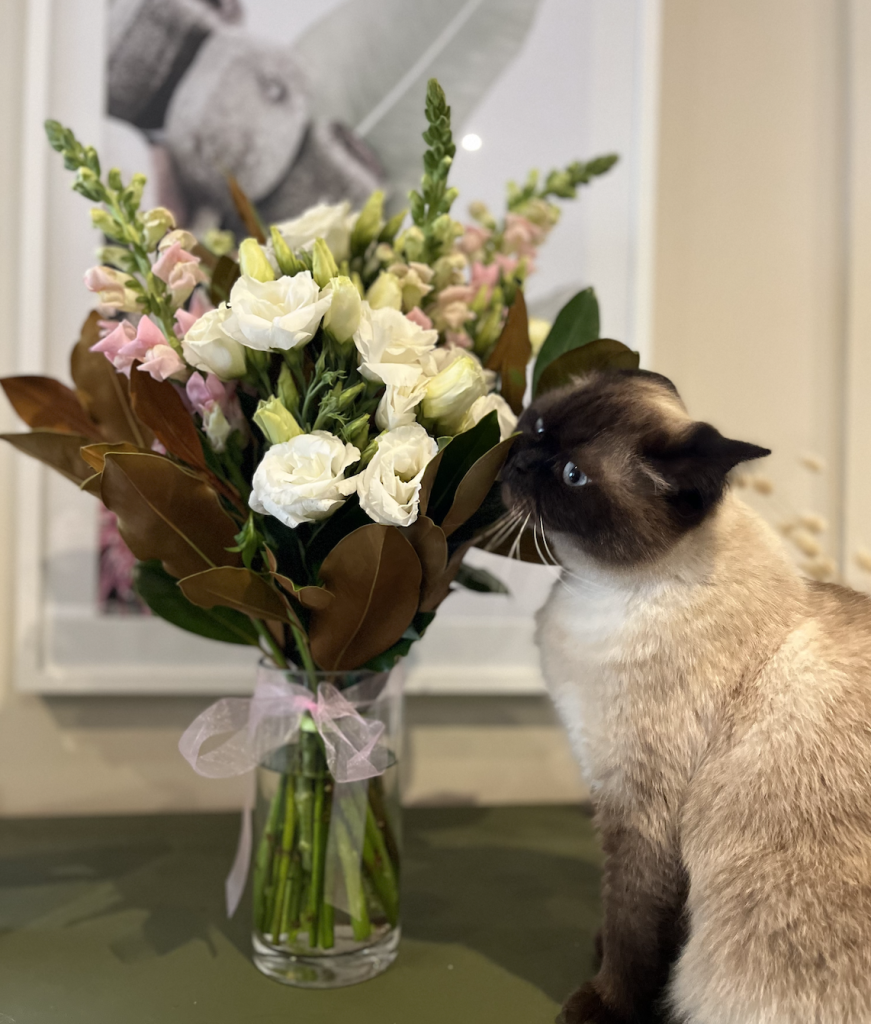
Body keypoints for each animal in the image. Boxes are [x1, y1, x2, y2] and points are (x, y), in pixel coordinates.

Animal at [501, 370, 871, 1024]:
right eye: (540, 425)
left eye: (572, 476)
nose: (519, 459)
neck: (600, 587)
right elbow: (651, 931)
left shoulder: (640, 807)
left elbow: (633, 927)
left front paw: (603, 1002)